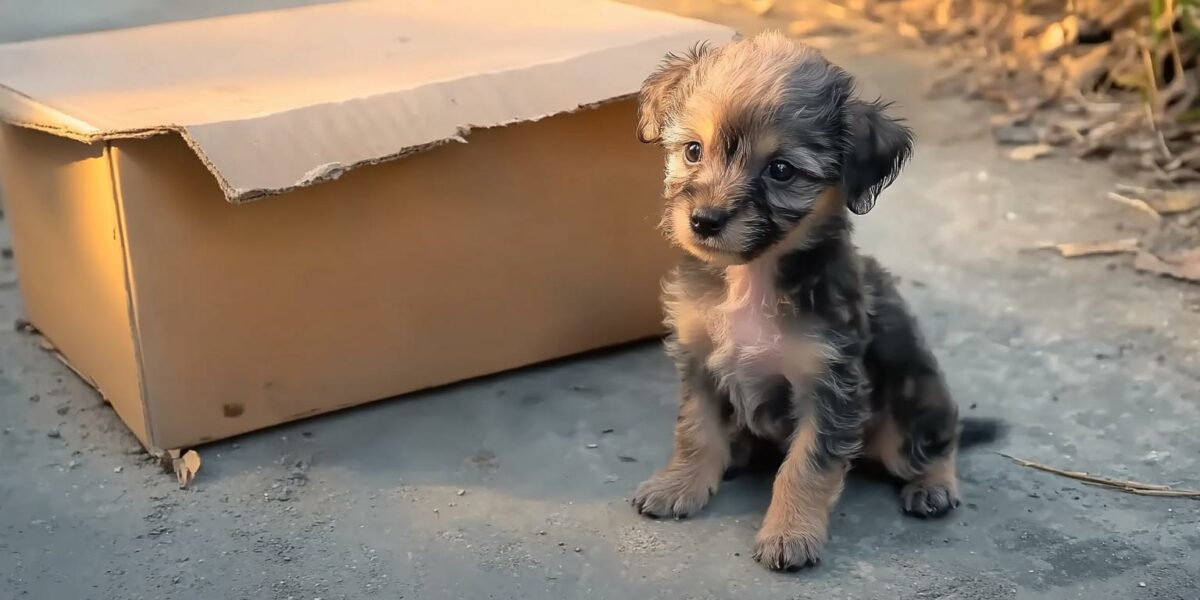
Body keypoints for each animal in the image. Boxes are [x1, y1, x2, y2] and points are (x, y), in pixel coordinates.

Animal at [633, 32, 988, 571]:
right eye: (693, 150)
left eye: (781, 170)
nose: (704, 220)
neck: (753, 276)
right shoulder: (699, 361)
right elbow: (695, 431)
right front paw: (681, 483)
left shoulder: (830, 387)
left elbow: (806, 466)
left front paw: (790, 532)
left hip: (911, 406)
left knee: (944, 438)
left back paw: (934, 485)